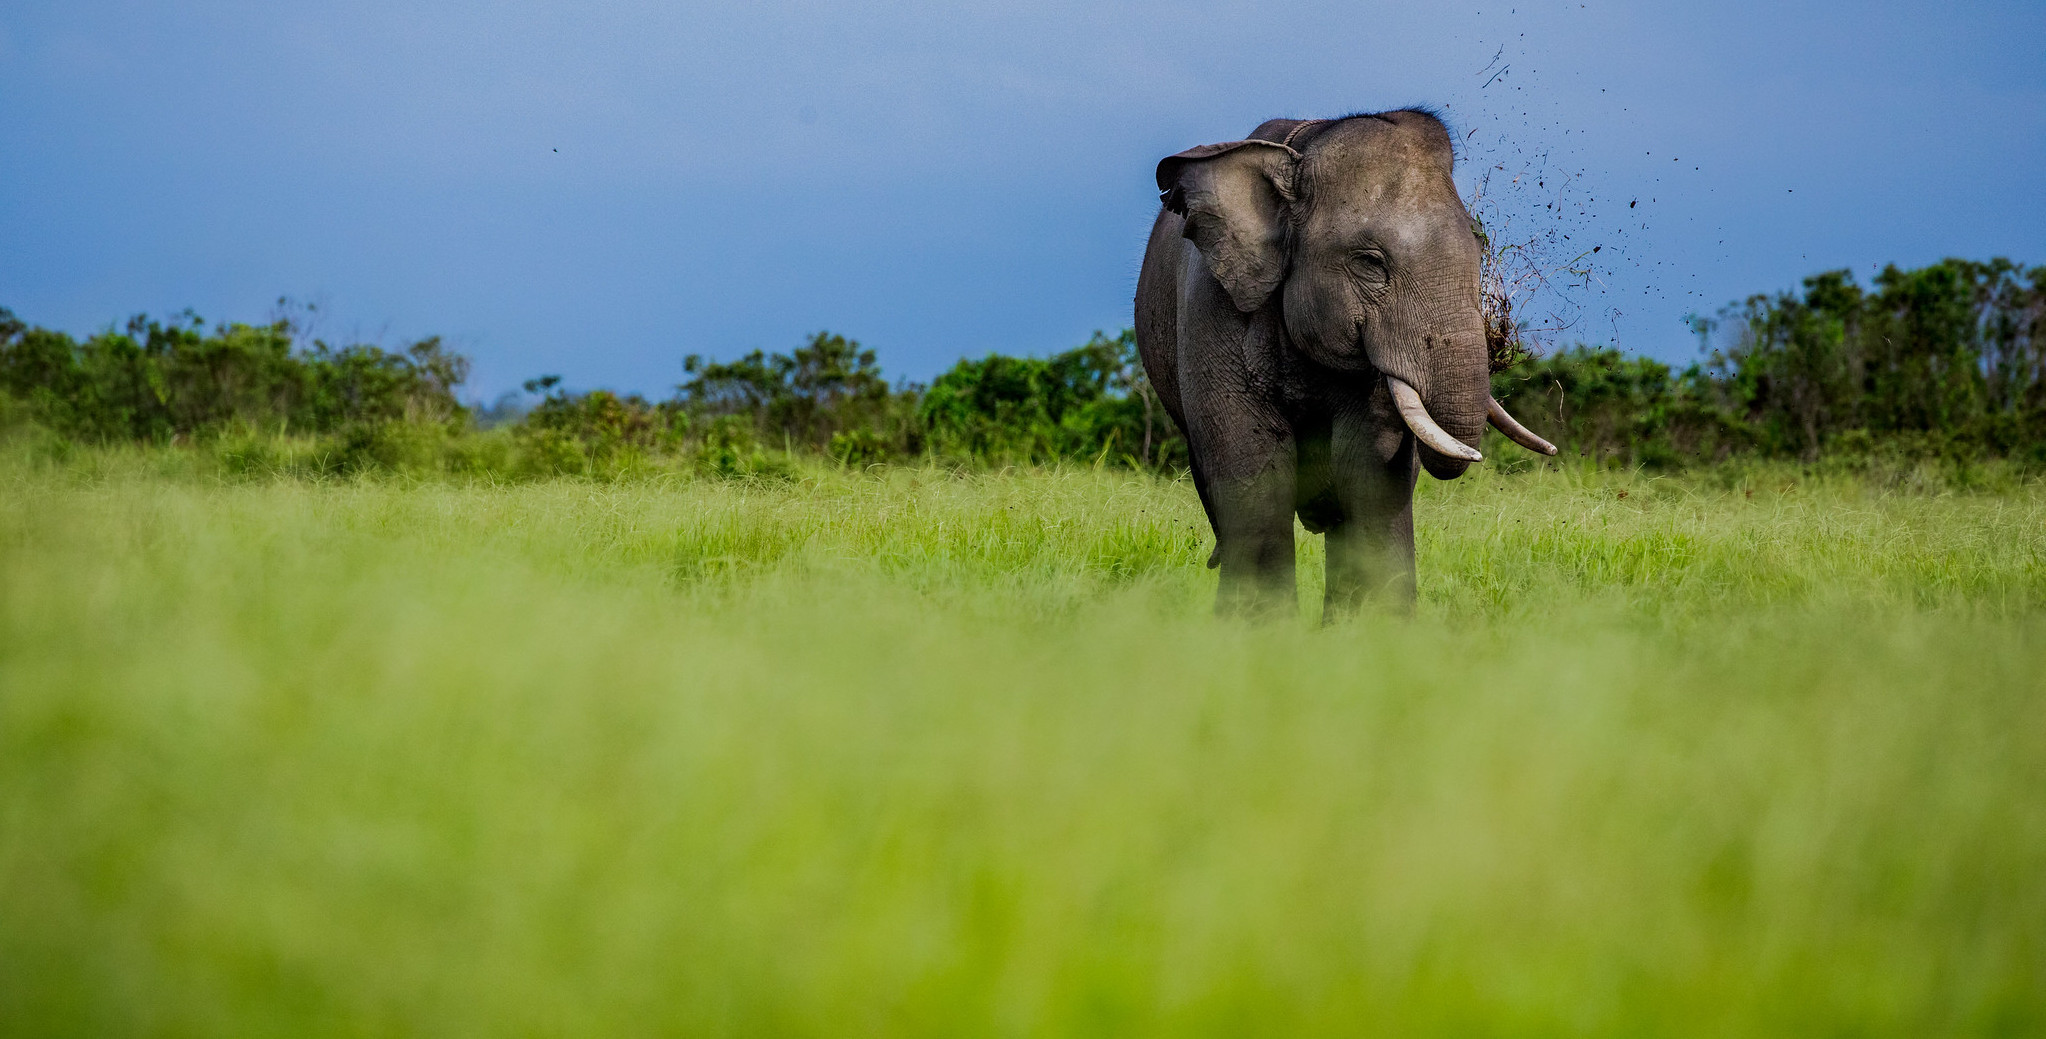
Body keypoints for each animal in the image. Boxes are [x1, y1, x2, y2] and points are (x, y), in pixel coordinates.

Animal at [1134, 109, 1557, 616]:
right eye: (1370, 263)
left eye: (1482, 246)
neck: (1300, 155)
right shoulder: (1211, 304)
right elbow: (1257, 478)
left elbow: (1371, 479)